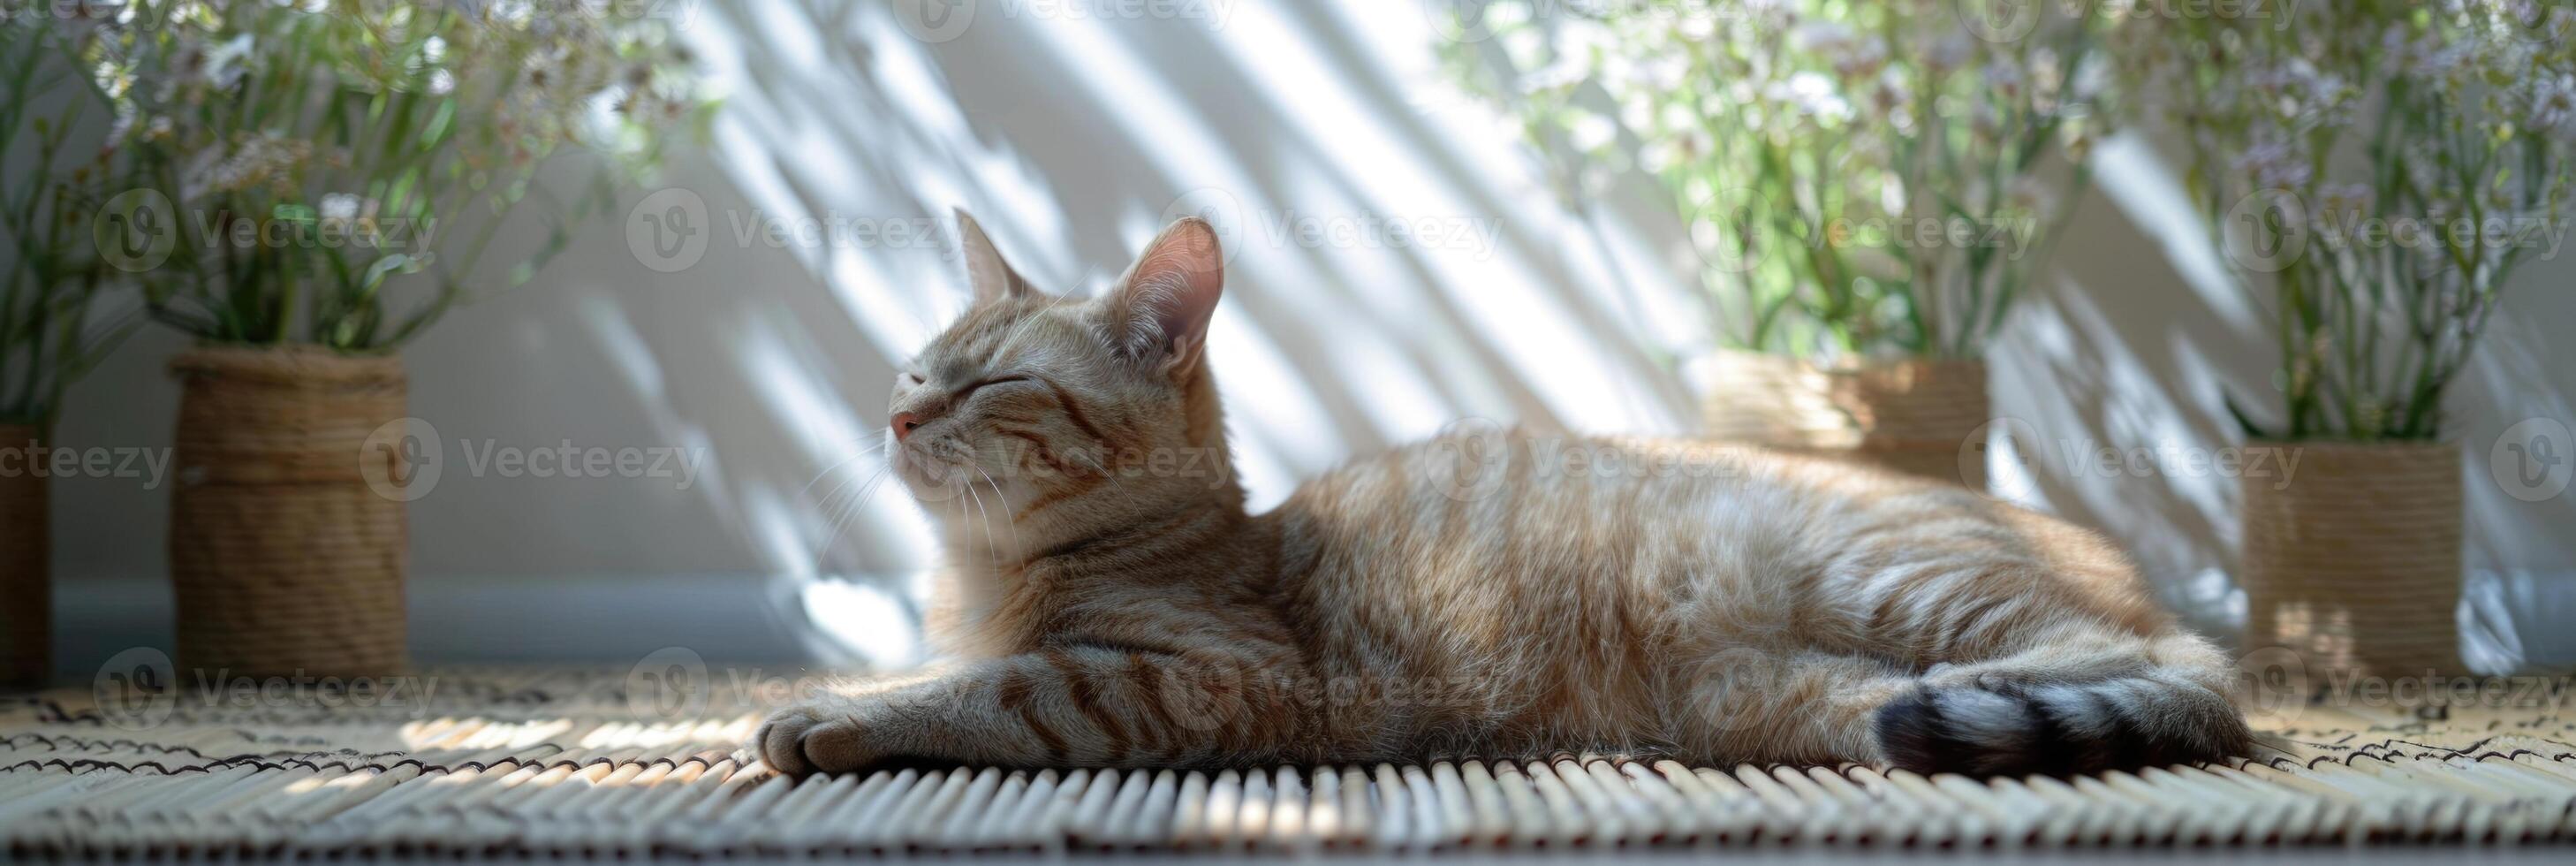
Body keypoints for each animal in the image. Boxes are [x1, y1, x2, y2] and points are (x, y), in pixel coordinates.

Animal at [752, 209, 2256, 778]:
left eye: (991, 384)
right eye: (917, 364)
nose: (895, 413)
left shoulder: (1215, 678)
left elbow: (995, 691)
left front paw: (836, 713)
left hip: (1900, 586)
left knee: (2162, 667)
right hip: (1776, 696)